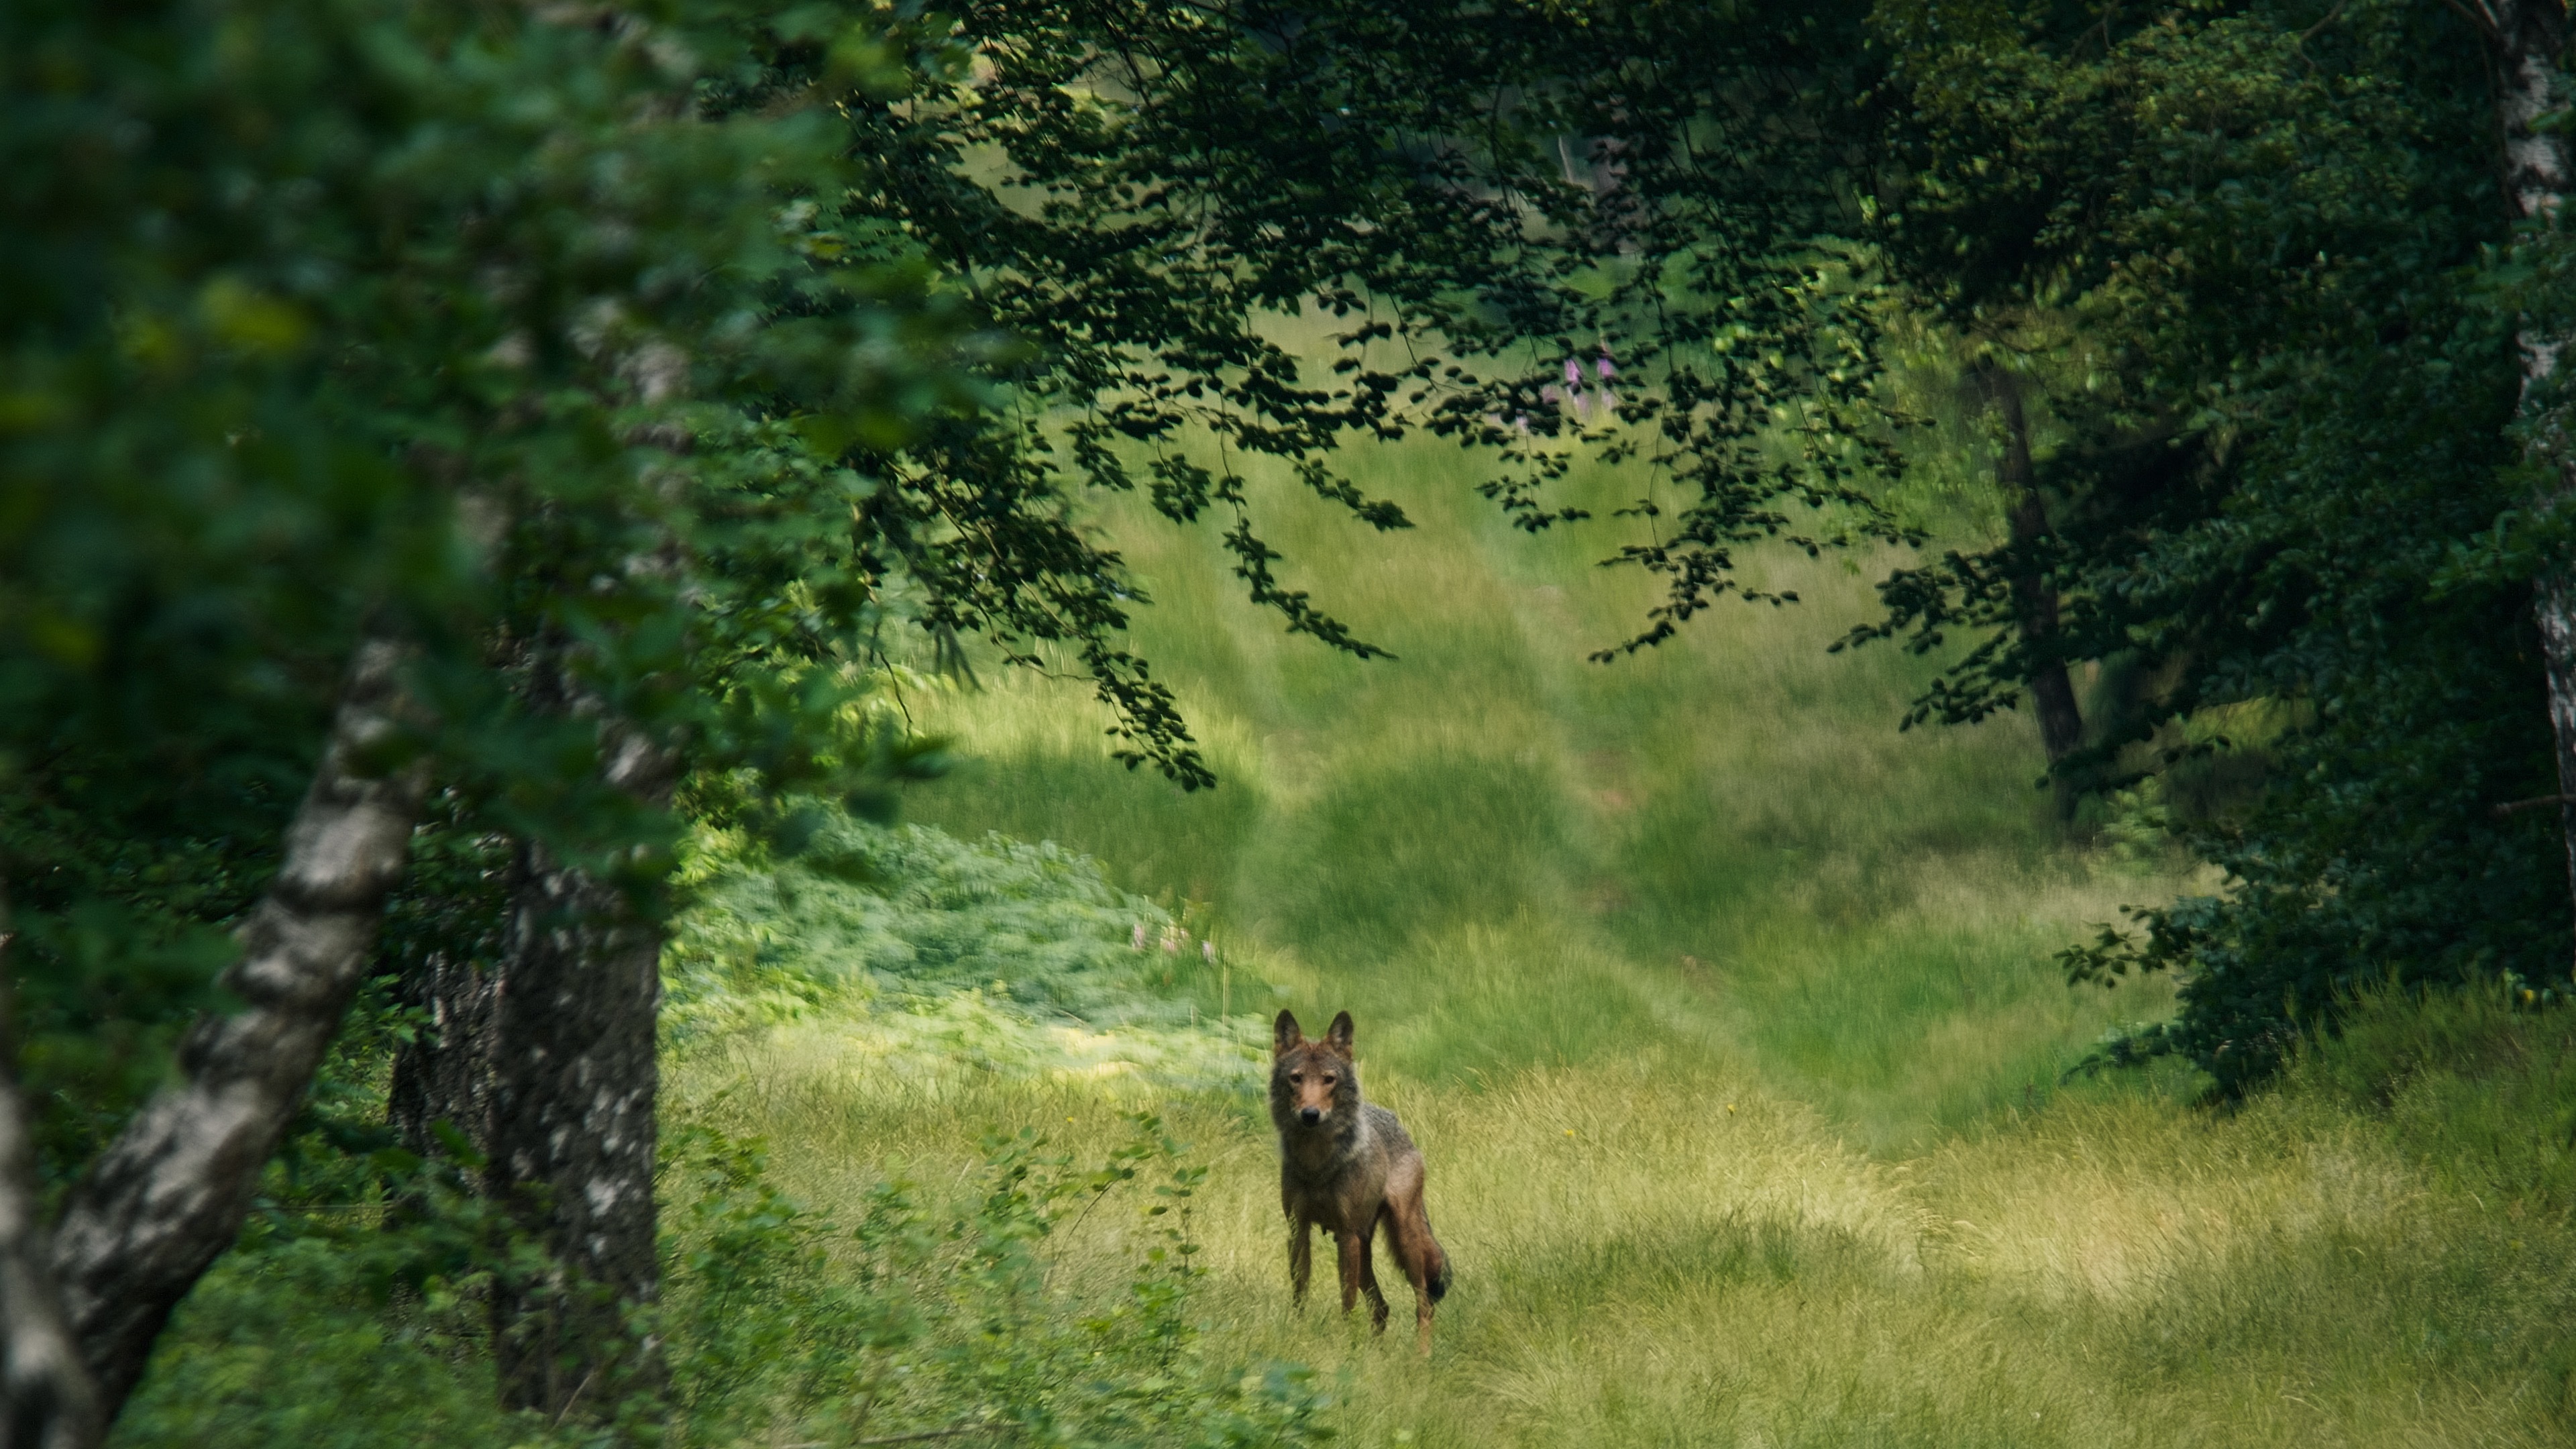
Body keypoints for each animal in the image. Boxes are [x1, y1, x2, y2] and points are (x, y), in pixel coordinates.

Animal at [1270, 1009, 1451, 1353]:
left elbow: (1347, 1301)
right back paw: (1375, 1354)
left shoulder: (1347, 1235)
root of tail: (1397, 1123)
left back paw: (1422, 1355)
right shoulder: (1298, 1230)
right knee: (1382, 1306)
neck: (1317, 1164)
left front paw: (1343, 1343)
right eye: (1296, 1078)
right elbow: (1300, 1293)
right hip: (1364, 1244)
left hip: (1404, 1238)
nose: (1310, 1114)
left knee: (1424, 1302)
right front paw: (1298, 1333)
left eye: (1329, 1079)